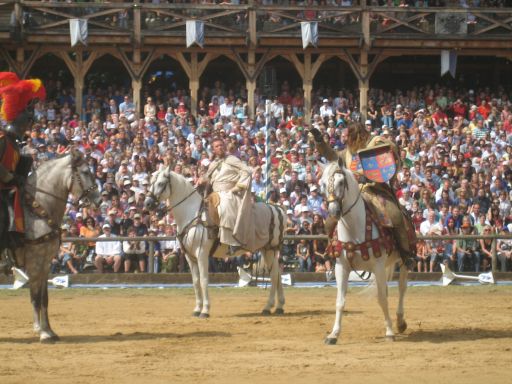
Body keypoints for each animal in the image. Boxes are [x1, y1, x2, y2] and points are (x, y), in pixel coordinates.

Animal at [2, 148, 99, 344]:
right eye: (86, 172)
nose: (99, 200)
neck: (36, 210)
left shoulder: (46, 263)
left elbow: (44, 298)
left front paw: (49, 330)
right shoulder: (35, 262)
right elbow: (35, 297)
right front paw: (41, 332)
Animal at [146, 168, 286, 318]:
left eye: (161, 183)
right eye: (151, 181)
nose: (147, 203)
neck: (192, 215)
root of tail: (276, 209)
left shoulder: (201, 254)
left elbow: (204, 280)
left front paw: (205, 310)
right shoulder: (190, 257)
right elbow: (196, 282)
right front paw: (197, 309)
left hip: (271, 250)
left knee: (274, 276)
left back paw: (269, 306)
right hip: (267, 250)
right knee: (277, 274)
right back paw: (278, 306)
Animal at [320, 158, 408, 344]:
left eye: (341, 182)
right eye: (323, 184)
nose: (333, 211)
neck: (354, 228)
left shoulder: (378, 267)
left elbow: (382, 298)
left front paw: (389, 332)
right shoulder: (342, 267)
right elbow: (340, 301)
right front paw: (333, 334)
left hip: (403, 261)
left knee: (402, 288)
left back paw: (400, 322)